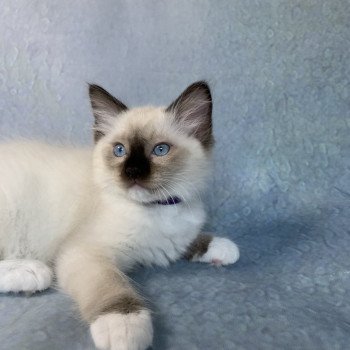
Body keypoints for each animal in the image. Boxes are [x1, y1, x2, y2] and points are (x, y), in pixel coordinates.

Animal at [0, 81, 239, 348]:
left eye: (160, 150)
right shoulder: (86, 253)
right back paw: (31, 273)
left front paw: (223, 248)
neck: (156, 209)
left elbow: (192, 241)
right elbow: (112, 287)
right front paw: (124, 328)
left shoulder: (174, 237)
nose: (132, 171)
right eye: (119, 150)